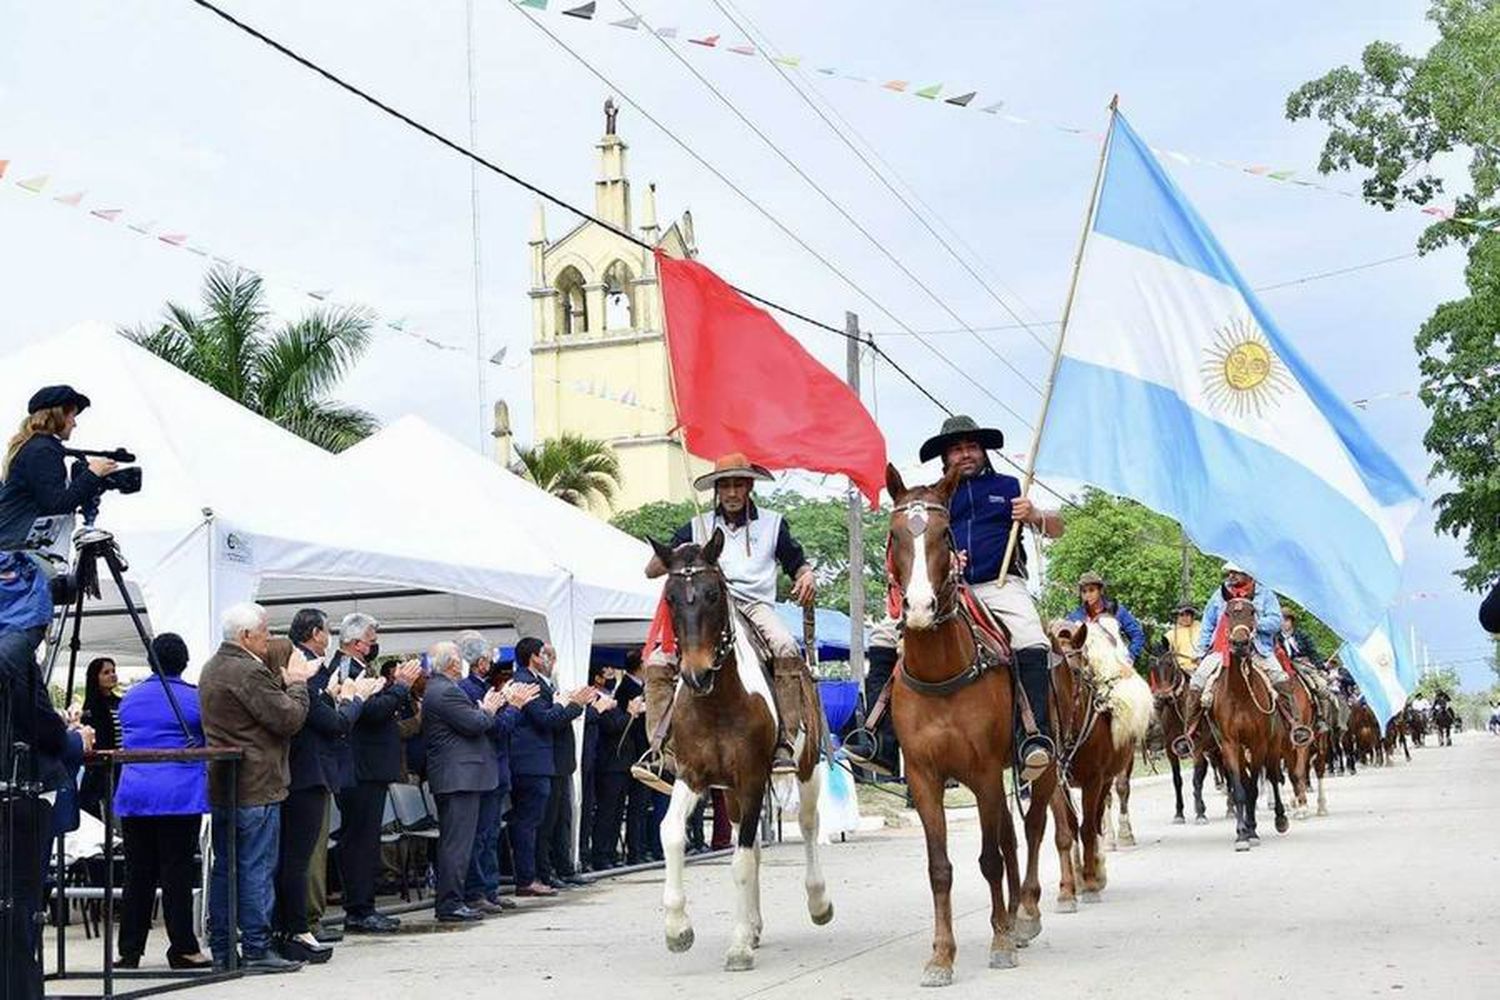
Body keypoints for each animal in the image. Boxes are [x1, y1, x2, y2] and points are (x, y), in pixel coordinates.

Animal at [645, 536, 834, 971]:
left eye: (713, 594)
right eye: (670, 597)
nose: (695, 674)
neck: (718, 702)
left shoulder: (751, 777)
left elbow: (741, 861)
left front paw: (738, 946)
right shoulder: (693, 775)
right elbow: (671, 833)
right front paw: (678, 929)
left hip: (806, 769)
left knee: (809, 825)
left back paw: (818, 903)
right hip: (729, 793)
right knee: (754, 846)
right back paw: (754, 924)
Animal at [876, 467, 1056, 983]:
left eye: (944, 534)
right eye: (895, 535)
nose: (917, 608)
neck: (942, 671)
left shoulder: (983, 772)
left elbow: (990, 859)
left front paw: (1000, 942)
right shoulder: (925, 777)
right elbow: (941, 867)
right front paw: (941, 956)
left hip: (1040, 769)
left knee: (1031, 830)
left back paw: (1025, 915)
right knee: (1012, 837)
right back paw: (1012, 916)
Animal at [1050, 617, 1152, 905]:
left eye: (1074, 671)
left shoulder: (1094, 780)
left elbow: (1086, 828)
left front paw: (1091, 881)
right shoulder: (1054, 783)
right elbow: (1066, 831)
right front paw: (1068, 888)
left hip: (1109, 776)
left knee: (1097, 817)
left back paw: (1099, 868)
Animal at [1194, 599, 1290, 851]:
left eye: (1252, 611)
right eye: (1227, 613)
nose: (1239, 644)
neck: (1240, 693)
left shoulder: (1258, 744)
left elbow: (1255, 788)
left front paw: (1253, 831)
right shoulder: (1230, 744)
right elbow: (1240, 789)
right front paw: (1242, 834)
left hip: (1273, 746)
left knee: (1274, 776)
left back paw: (1280, 818)